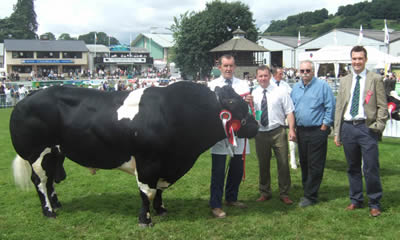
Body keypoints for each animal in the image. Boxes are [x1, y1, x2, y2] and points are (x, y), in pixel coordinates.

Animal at [10, 81, 260, 227]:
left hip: (55, 154)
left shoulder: (166, 164)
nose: (256, 126)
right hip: (37, 154)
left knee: (50, 180)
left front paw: (161, 210)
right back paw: (49, 212)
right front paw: (145, 219)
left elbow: (159, 190)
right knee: (40, 181)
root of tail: (28, 97)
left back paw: (57, 204)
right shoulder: (148, 162)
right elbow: (147, 192)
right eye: (236, 105)